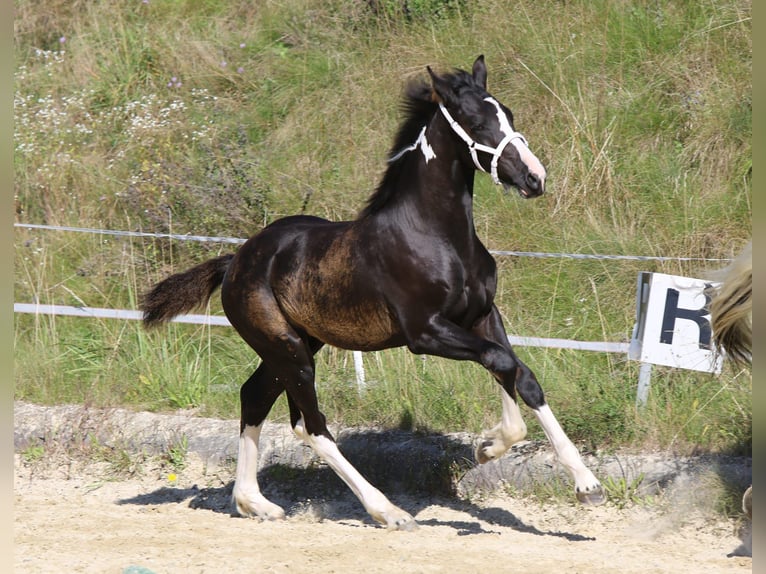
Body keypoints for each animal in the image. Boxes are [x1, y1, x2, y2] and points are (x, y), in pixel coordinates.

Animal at [141, 55, 606, 530]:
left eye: (508, 115)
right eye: (476, 122)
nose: (535, 177)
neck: (435, 236)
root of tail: (235, 260)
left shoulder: (482, 316)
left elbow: (518, 373)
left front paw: (580, 482)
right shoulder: (425, 333)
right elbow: (501, 361)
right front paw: (491, 446)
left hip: (295, 345)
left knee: (254, 398)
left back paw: (255, 503)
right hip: (287, 349)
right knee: (311, 425)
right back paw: (387, 510)